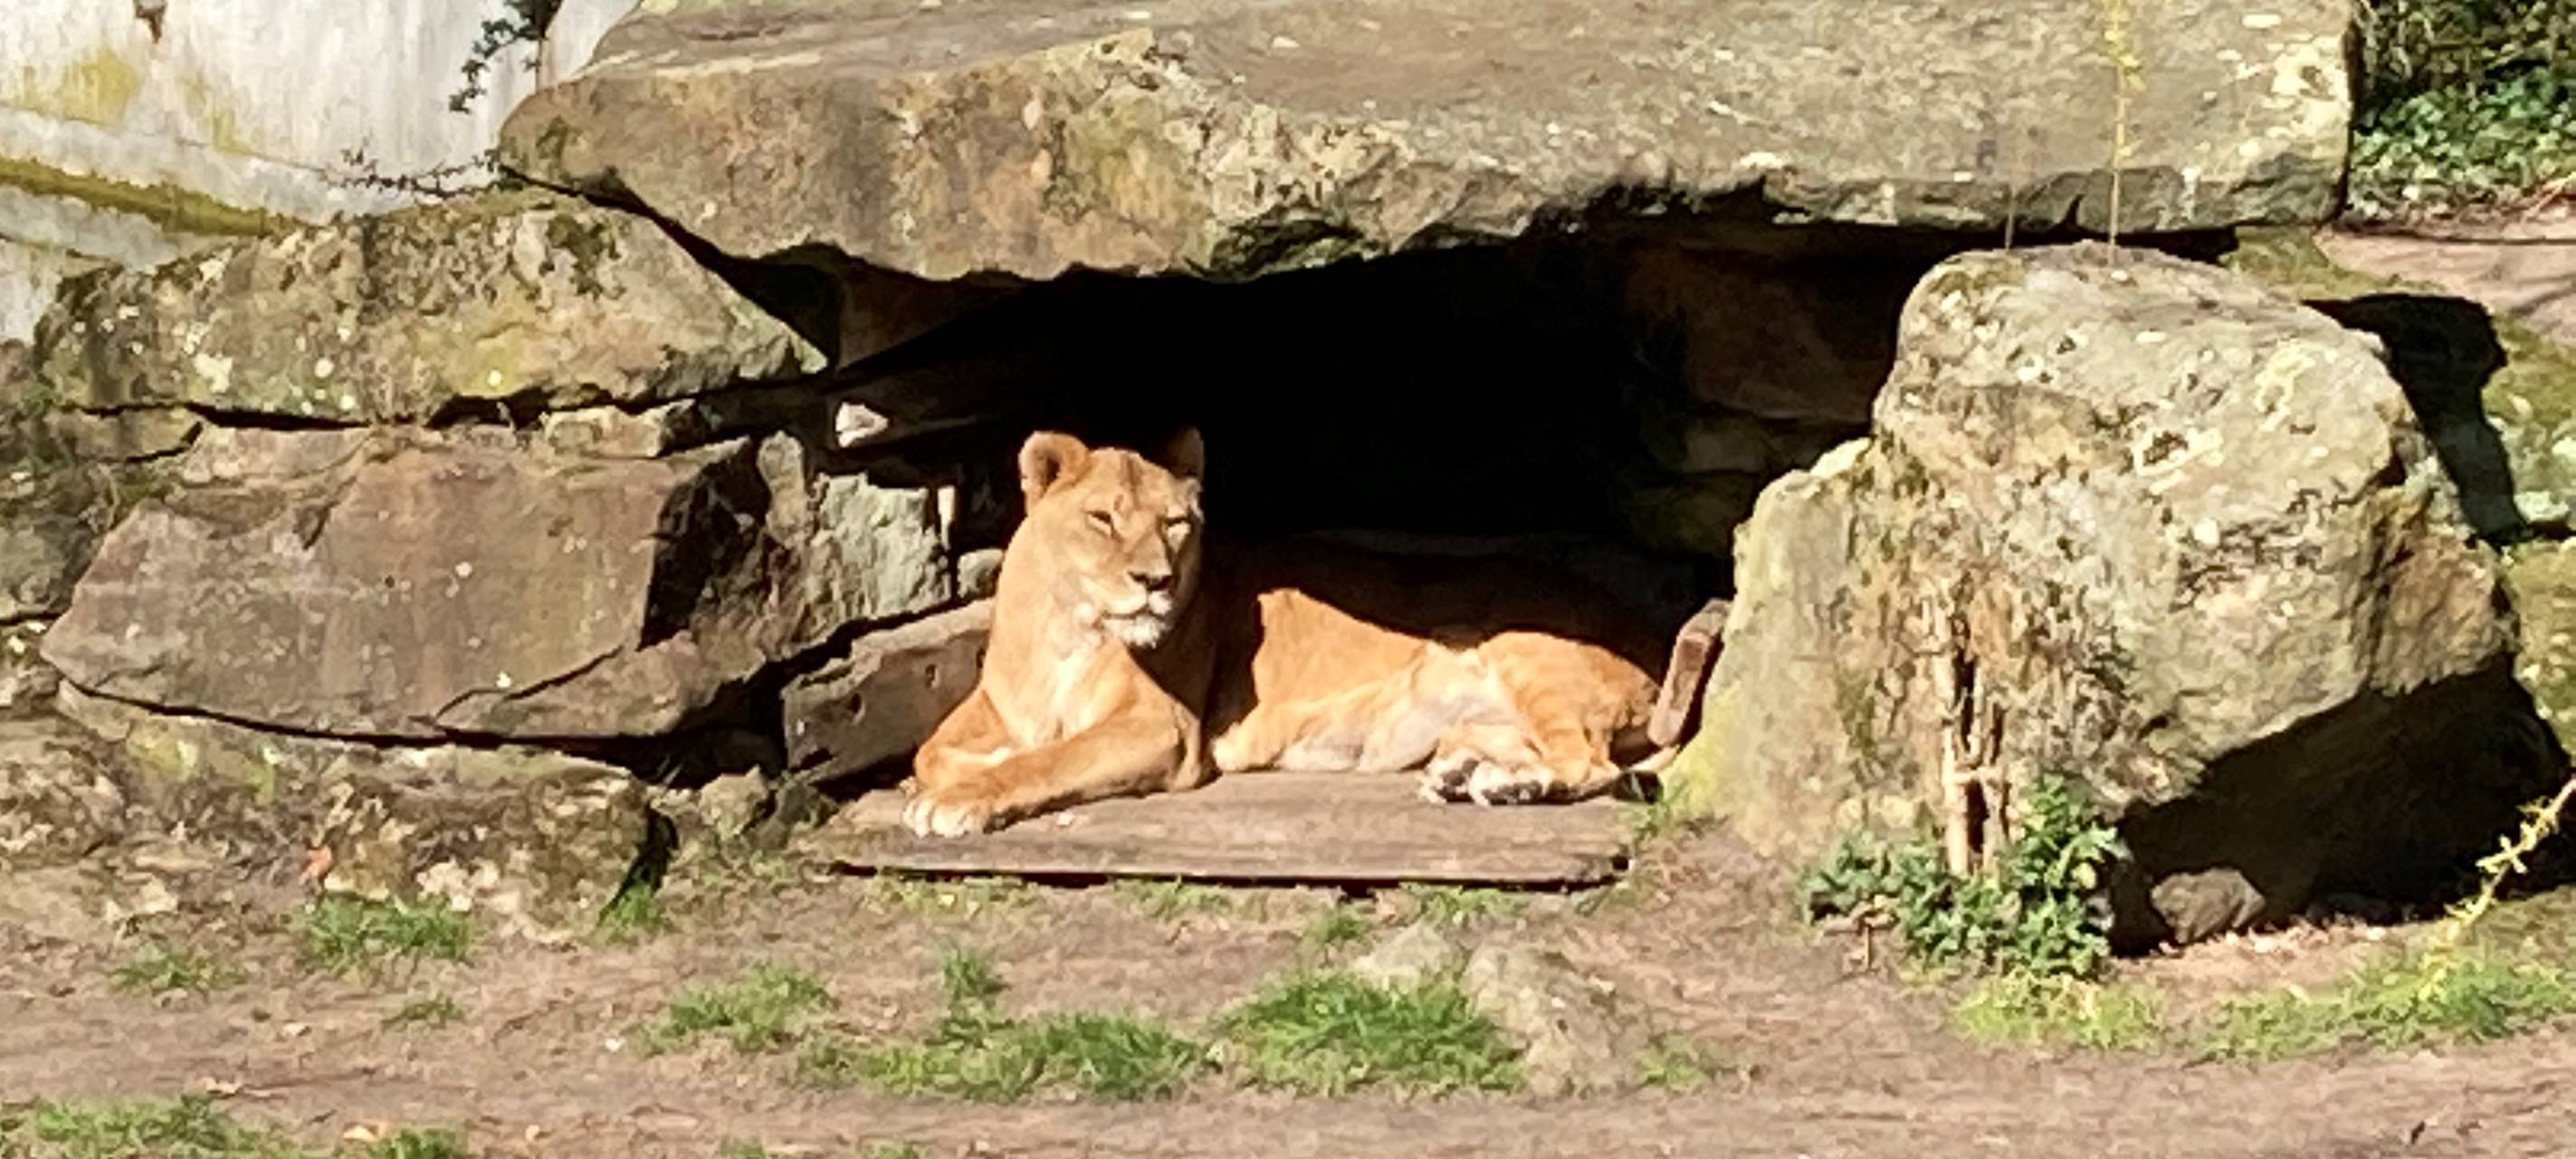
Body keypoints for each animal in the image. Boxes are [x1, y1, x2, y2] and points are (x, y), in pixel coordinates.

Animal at [901, 428, 1683, 837]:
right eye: (1102, 520)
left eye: (1175, 524)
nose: (1156, 581)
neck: (1071, 625)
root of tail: (1658, 642)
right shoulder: (1000, 706)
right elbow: (931, 750)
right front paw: (953, 775)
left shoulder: (1163, 730)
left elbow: (1052, 759)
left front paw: (960, 800)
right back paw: (1470, 777)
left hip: (1527, 649)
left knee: (1589, 762)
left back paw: (1510, 789)